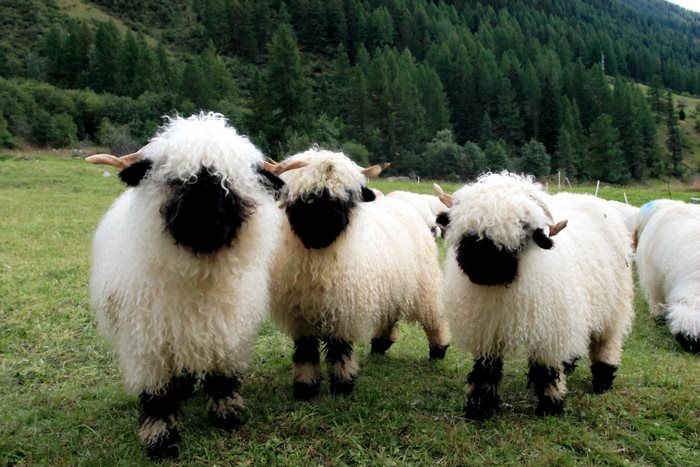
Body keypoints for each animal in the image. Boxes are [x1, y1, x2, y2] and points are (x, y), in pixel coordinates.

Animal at [87, 114, 284, 460]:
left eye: (230, 182)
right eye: (177, 180)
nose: (206, 222)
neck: (196, 275)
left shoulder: (225, 330)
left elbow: (222, 374)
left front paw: (227, 415)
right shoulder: (149, 343)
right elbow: (157, 393)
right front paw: (160, 438)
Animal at [268, 150, 448, 402]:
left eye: (346, 198)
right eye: (308, 197)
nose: (323, 227)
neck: (319, 258)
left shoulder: (344, 309)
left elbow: (340, 349)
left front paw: (342, 385)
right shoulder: (300, 313)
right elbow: (305, 351)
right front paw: (305, 387)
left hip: (424, 283)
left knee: (433, 316)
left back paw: (438, 349)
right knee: (390, 314)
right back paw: (380, 345)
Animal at [432, 173, 636, 420]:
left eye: (523, 229)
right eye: (468, 228)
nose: (483, 269)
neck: (502, 289)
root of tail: (588, 197)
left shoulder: (548, 330)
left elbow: (545, 370)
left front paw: (551, 405)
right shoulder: (487, 329)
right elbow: (486, 370)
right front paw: (480, 407)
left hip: (613, 305)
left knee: (607, 342)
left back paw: (603, 381)